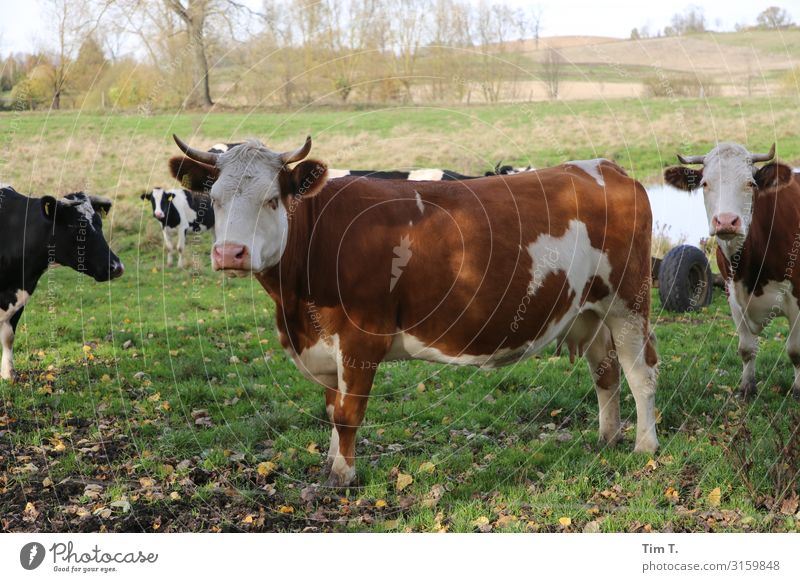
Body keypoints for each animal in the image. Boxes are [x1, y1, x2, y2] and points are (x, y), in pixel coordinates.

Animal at [0, 187, 123, 384]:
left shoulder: (20, 292)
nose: (117, 267)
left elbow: (8, 336)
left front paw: (8, 374)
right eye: (75, 227)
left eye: (99, 223)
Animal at [172, 137, 660, 488]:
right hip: (591, 309)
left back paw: (645, 446)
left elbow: (348, 413)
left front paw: (343, 478)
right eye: (215, 199)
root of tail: (605, 167)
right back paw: (608, 438)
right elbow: (332, 408)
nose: (230, 253)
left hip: (629, 302)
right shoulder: (323, 346)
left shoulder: (360, 338)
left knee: (641, 373)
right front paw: (330, 466)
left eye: (272, 199)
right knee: (606, 373)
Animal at [664, 144, 800, 404]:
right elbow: (746, 348)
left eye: (750, 183)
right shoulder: (732, 294)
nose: (726, 221)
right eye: (705, 183)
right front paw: (747, 389)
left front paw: (798, 390)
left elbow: (795, 350)